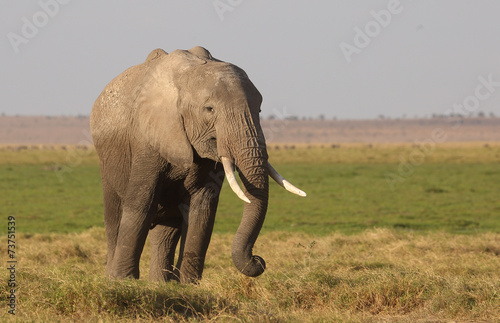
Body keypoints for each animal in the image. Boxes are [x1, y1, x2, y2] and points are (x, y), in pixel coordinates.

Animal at [90, 45, 304, 284]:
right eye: (209, 109)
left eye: (258, 110)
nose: (257, 260)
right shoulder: (146, 138)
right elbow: (141, 201)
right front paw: (123, 281)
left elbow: (203, 205)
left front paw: (189, 285)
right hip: (107, 162)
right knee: (115, 218)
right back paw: (114, 277)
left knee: (166, 232)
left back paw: (160, 283)